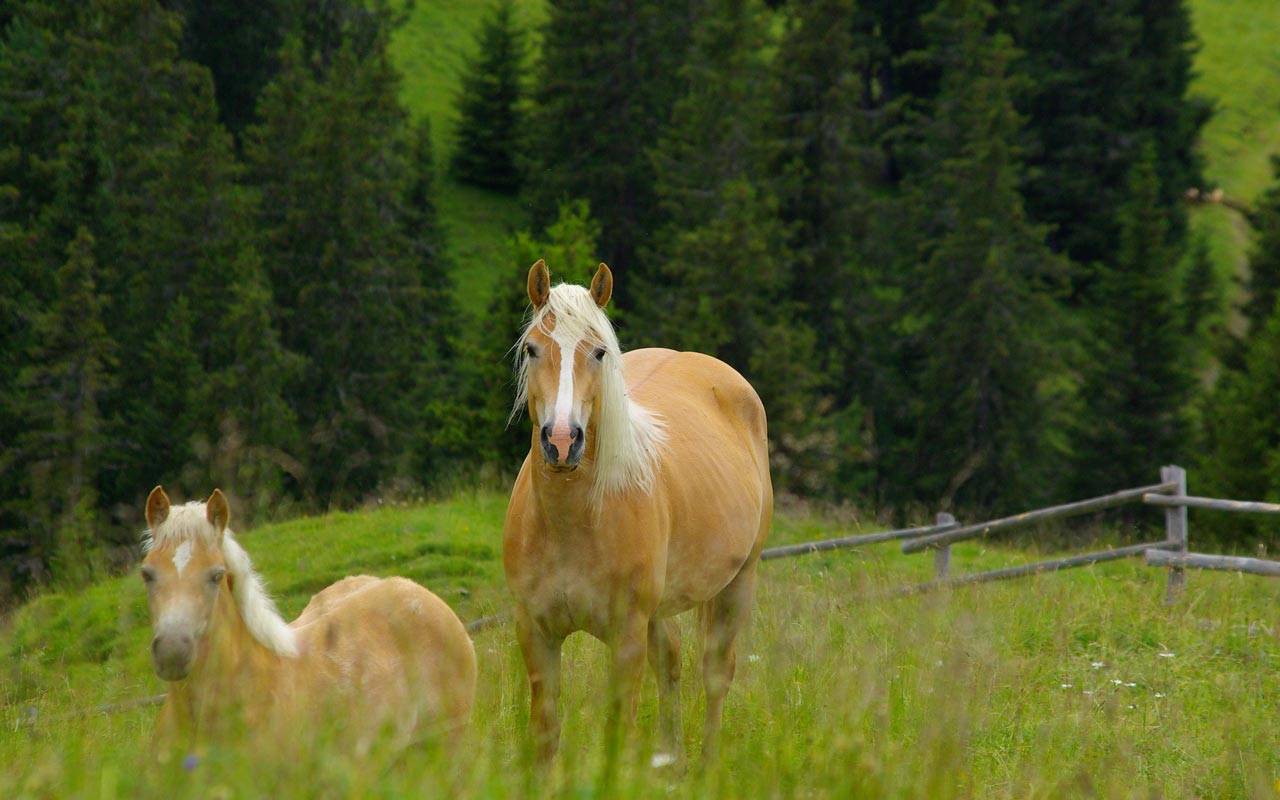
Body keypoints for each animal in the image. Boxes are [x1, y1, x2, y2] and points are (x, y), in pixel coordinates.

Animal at [504, 258, 773, 762]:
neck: (571, 522)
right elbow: (545, 733)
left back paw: (707, 765)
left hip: (739, 581)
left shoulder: (626, 634)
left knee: (716, 672)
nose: (562, 441)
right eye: (532, 349)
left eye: (599, 353)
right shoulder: (535, 631)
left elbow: (619, 730)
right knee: (670, 660)